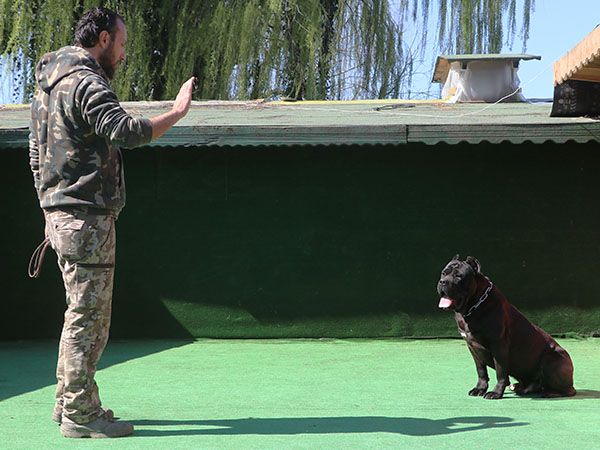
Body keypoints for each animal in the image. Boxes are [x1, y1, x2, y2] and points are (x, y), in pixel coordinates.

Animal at [438, 255, 576, 400]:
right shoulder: (472, 347)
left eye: (458, 276)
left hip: (550, 359)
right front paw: (479, 388)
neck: (472, 307)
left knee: (568, 390)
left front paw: (496, 392)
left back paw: (550, 393)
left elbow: (501, 372)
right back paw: (521, 387)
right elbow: (481, 371)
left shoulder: (499, 345)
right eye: (443, 273)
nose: (442, 282)